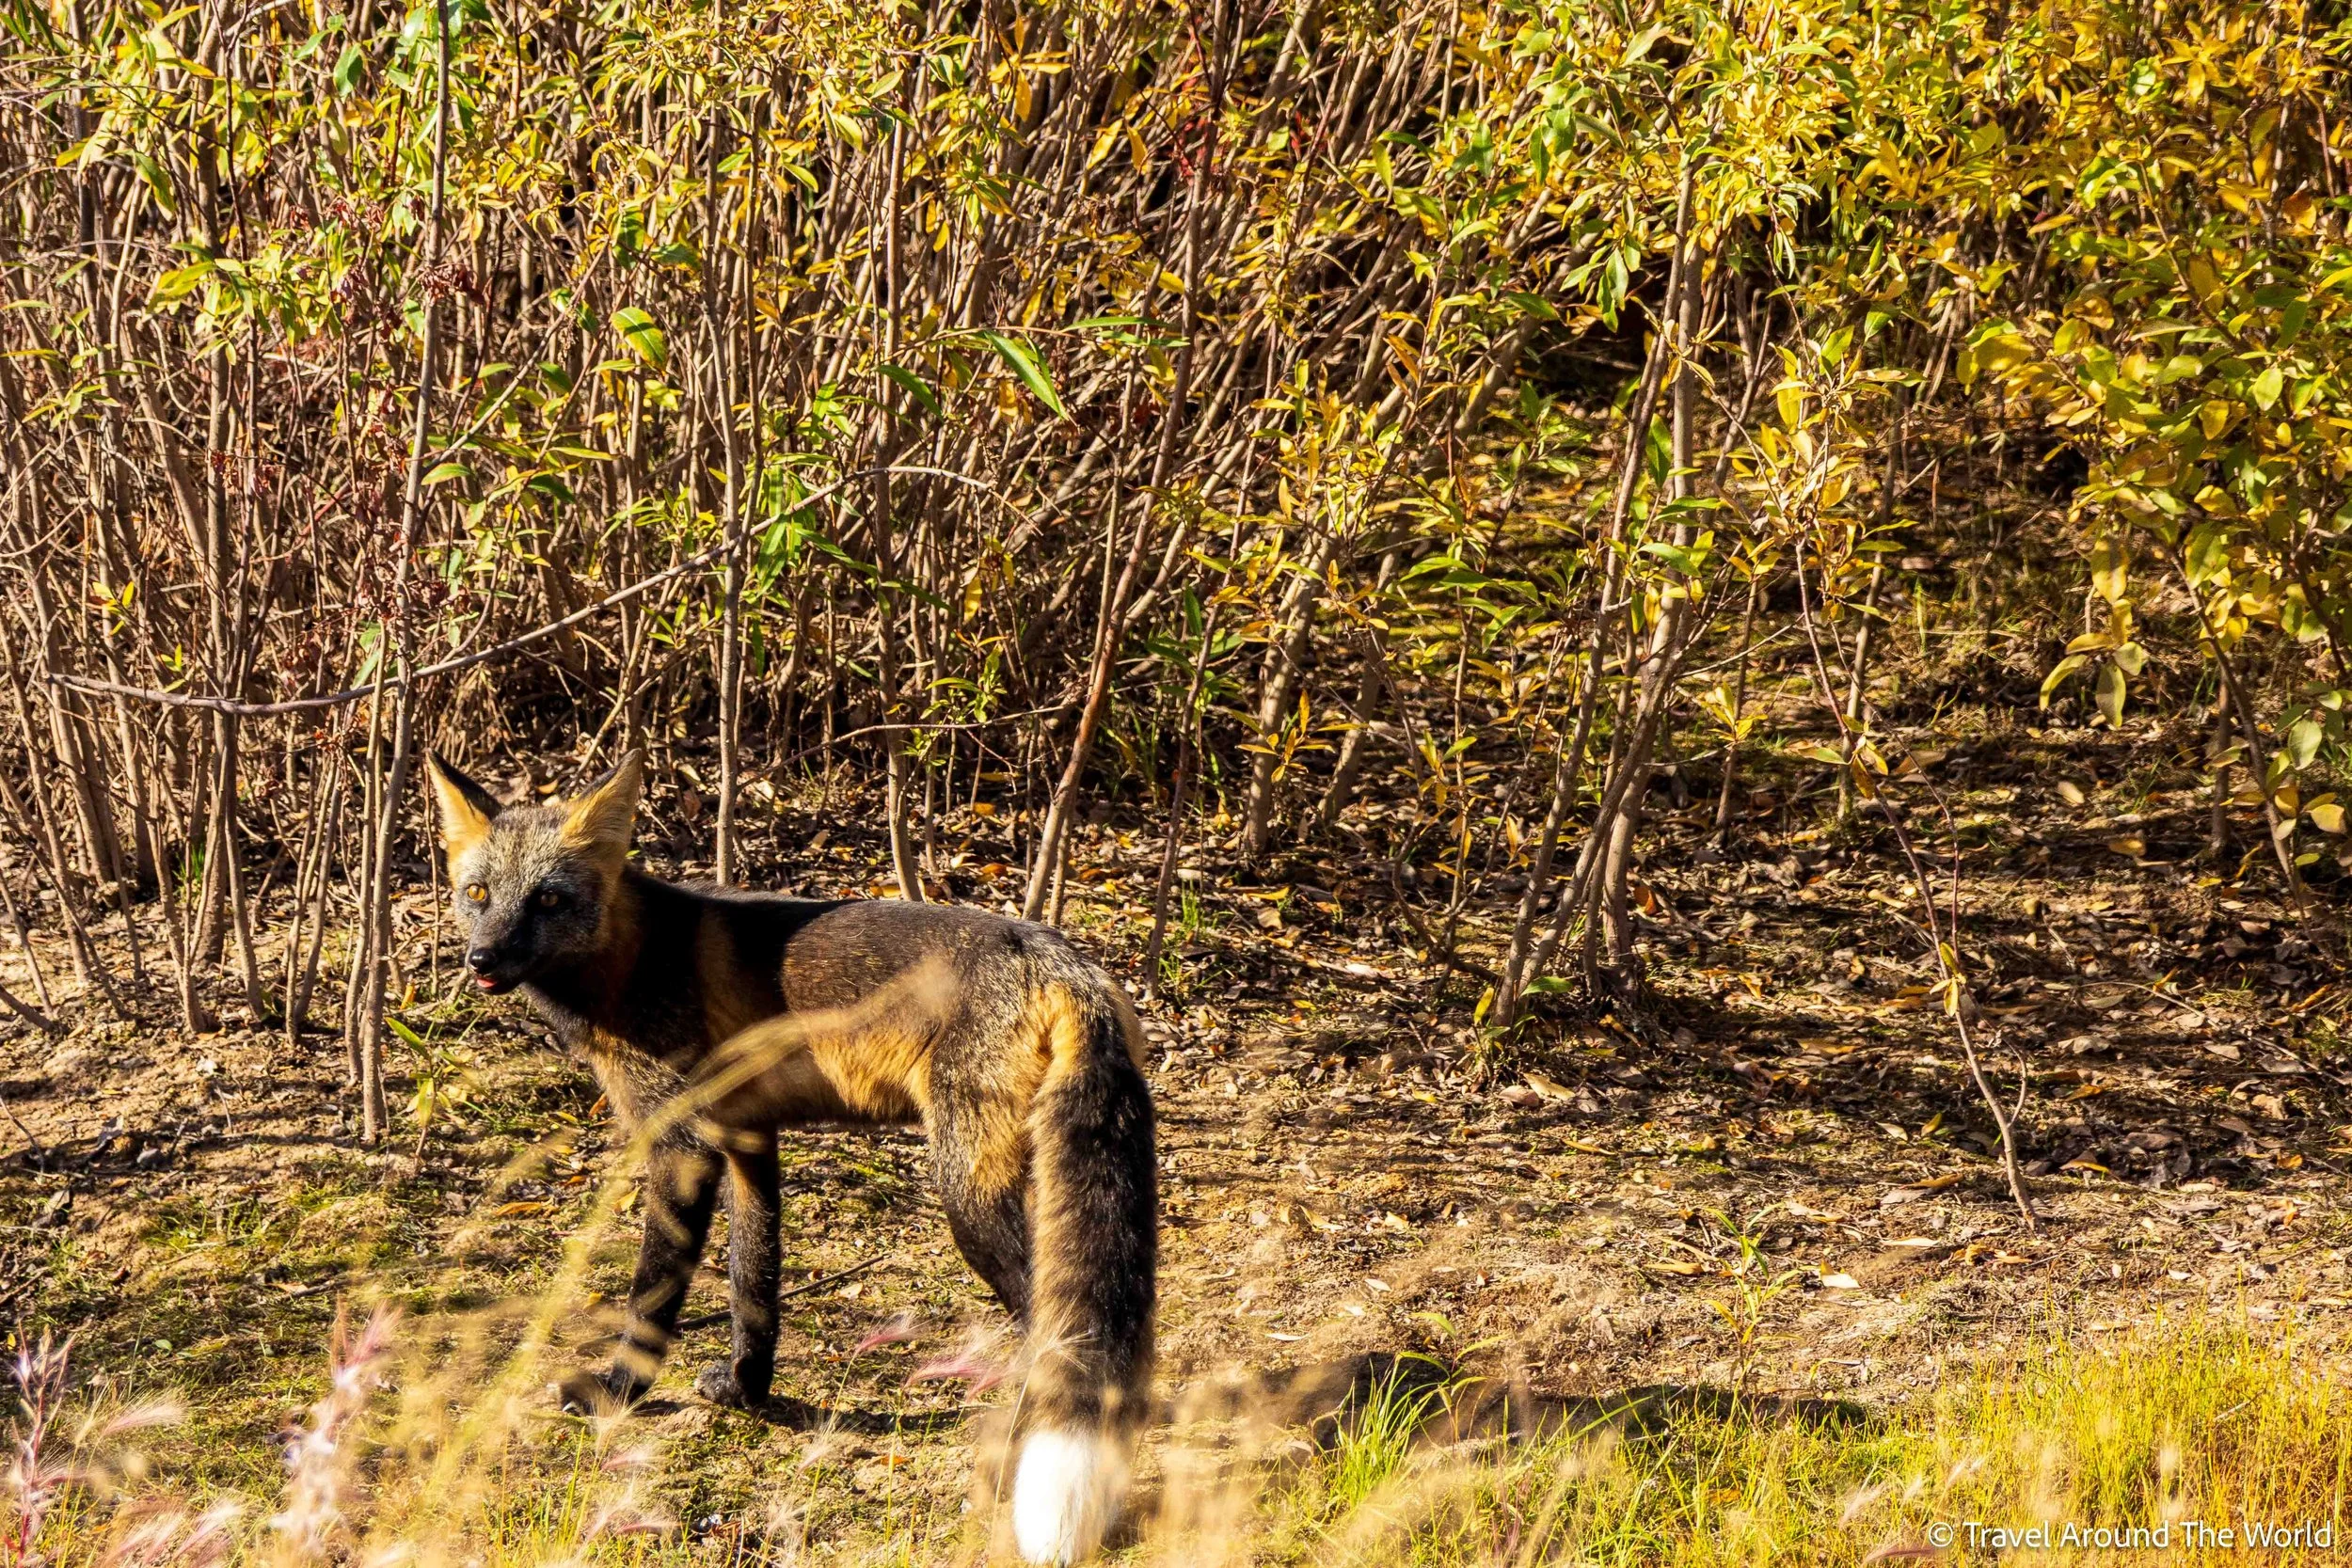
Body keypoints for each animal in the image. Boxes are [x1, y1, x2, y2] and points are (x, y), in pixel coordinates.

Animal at [426, 750, 1156, 1565]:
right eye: (479, 893)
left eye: (548, 898)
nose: (482, 958)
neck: (634, 960)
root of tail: (1068, 963)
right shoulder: (749, 1139)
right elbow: (755, 1281)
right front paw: (747, 1390)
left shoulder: (683, 1146)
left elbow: (653, 1292)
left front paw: (621, 1390)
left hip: (967, 1197)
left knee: (1052, 1324)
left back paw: (1016, 1449)